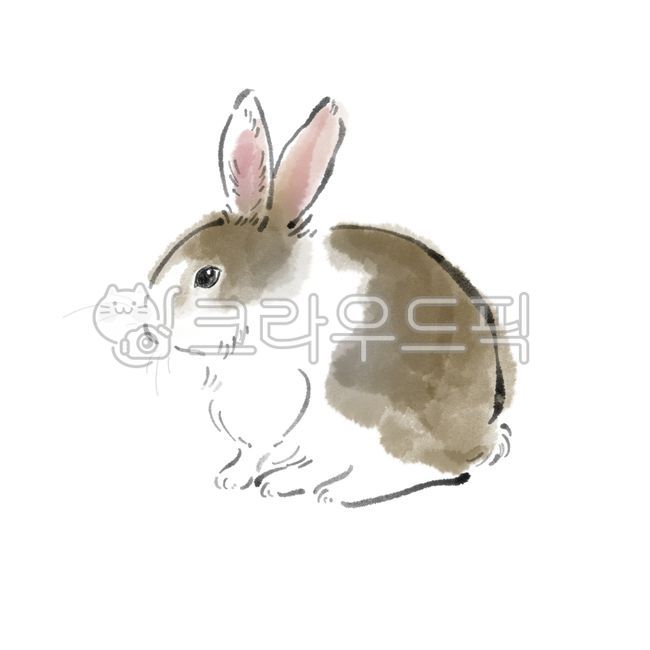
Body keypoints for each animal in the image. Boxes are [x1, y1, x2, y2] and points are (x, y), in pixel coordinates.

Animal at [148, 89, 516, 507]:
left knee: (421, 470)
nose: (151, 333)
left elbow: (262, 449)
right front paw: (230, 477)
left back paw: (325, 489)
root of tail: (482, 437)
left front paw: (253, 479)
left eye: (206, 276)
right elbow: (251, 454)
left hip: (367, 415)